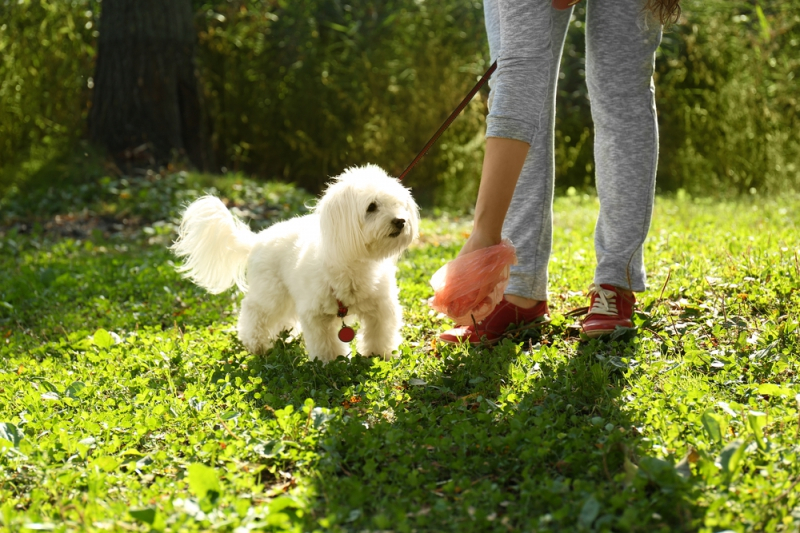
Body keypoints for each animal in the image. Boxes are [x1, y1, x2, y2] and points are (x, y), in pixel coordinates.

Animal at [173, 164, 422, 360]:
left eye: (399, 205)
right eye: (371, 206)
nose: (400, 221)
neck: (354, 263)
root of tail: (256, 240)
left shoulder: (381, 307)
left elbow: (380, 332)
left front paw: (379, 354)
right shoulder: (316, 315)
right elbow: (325, 343)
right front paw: (332, 362)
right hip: (271, 293)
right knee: (254, 311)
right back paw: (257, 344)